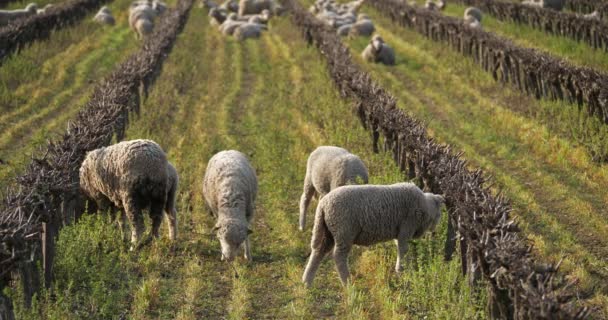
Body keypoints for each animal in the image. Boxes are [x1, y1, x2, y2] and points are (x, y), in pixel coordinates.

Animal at [302, 182, 444, 288]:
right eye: (440, 213)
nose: (435, 230)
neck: (424, 207)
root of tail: (323, 204)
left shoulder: (400, 232)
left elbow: (399, 247)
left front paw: (401, 269)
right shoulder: (406, 227)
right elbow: (403, 250)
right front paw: (401, 270)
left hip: (328, 232)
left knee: (318, 252)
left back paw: (307, 282)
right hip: (344, 232)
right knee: (338, 257)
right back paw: (347, 283)